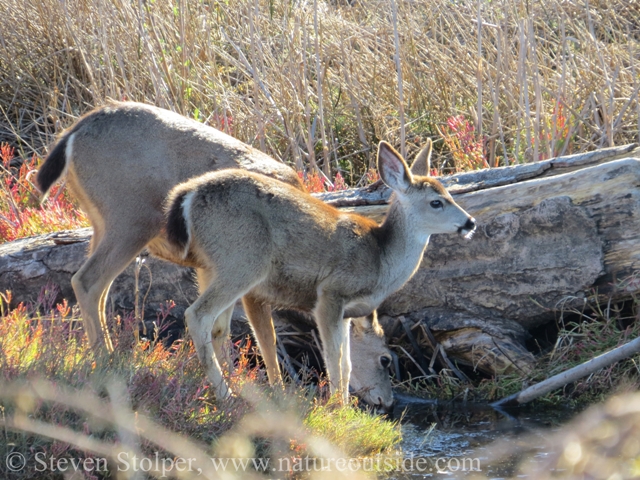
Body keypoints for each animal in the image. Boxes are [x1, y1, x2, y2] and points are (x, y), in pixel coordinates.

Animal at [36, 101, 396, 408]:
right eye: (385, 358)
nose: (387, 401)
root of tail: (72, 134)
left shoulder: (209, 267)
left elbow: (220, 329)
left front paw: (231, 383)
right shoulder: (252, 276)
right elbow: (265, 337)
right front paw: (275, 393)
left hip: (101, 223)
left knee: (96, 286)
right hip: (130, 219)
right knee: (87, 281)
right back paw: (107, 361)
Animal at [165, 141, 476, 404]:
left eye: (449, 193)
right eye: (436, 202)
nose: (470, 222)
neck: (381, 259)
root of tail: (188, 195)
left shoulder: (346, 311)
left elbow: (347, 363)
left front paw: (344, 407)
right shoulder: (330, 293)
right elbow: (334, 359)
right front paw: (339, 408)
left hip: (209, 267)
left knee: (218, 327)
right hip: (243, 262)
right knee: (197, 314)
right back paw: (225, 394)